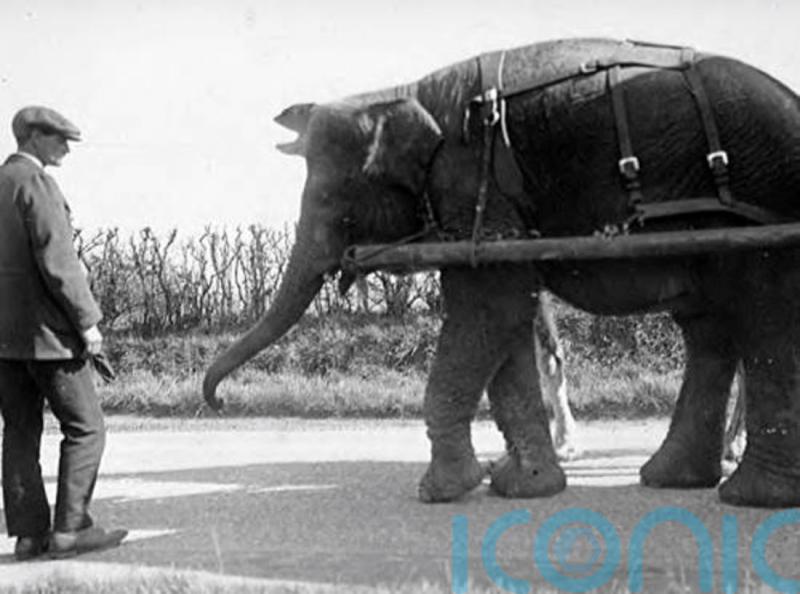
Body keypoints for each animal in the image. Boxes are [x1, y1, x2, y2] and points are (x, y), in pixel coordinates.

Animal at [203, 38, 800, 508]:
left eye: (331, 200)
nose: (217, 403)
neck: (404, 91)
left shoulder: (471, 184)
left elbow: (488, 310)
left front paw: (441, 491)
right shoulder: (492, 220)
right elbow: (506, 321)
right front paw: (521, 486)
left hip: (759, 201)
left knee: (762, 316)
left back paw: (750, 496)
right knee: (709, 328)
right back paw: (674, 479)